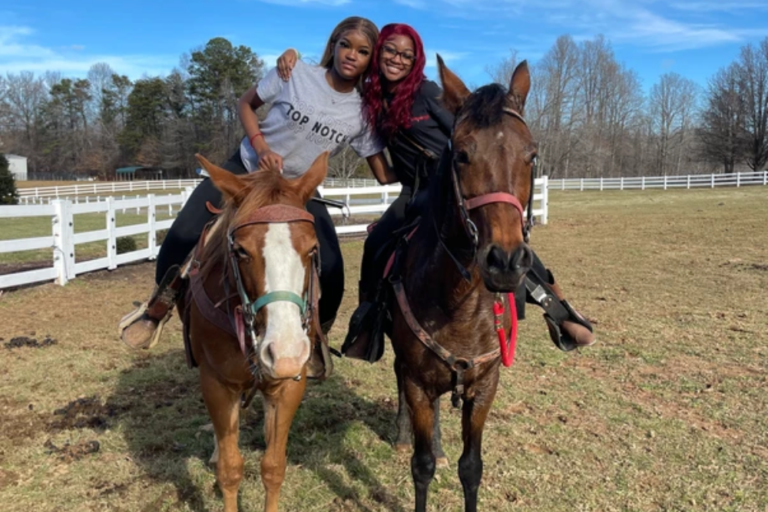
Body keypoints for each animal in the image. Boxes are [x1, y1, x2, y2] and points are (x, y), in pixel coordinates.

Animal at [178, 152, 329, 512]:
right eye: (241, 251)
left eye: (313, 249)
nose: (285, 352)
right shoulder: (217, 384)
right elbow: (230, 469)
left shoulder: (290, 386)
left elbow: (273, 467)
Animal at [388, 57, 537, 512]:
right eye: (463, 155)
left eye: (531, 155)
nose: (506, 261)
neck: (458, 302)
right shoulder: (419, 384)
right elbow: (421, 468)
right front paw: (417, 445)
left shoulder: (485, 387)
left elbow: (471, 468)